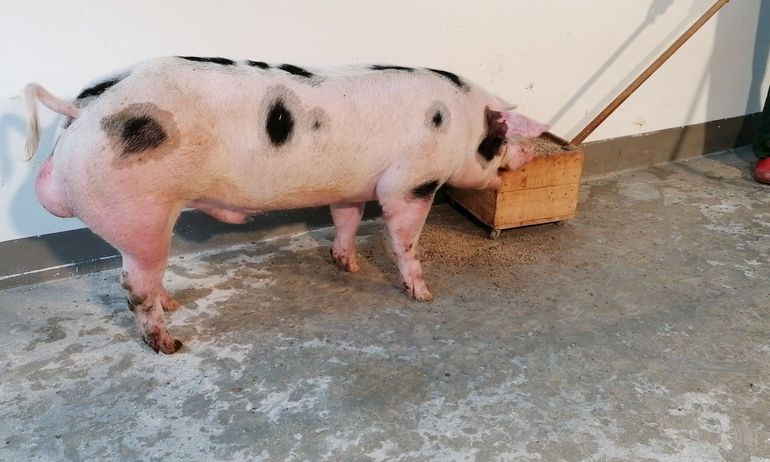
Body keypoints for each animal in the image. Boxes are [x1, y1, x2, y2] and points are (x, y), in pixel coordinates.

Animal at [24, 56, 547, 354]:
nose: (527, 155)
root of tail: (82, 109)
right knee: (132, 287)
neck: (461, 124)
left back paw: (172, 305)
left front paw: (349, 266)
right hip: (139, 214)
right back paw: (169, 344)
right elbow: (404, 239)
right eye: (501, 138)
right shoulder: (411, 183)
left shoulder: (348, 187)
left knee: (146, 278)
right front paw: (424, 295)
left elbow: (345, 220)